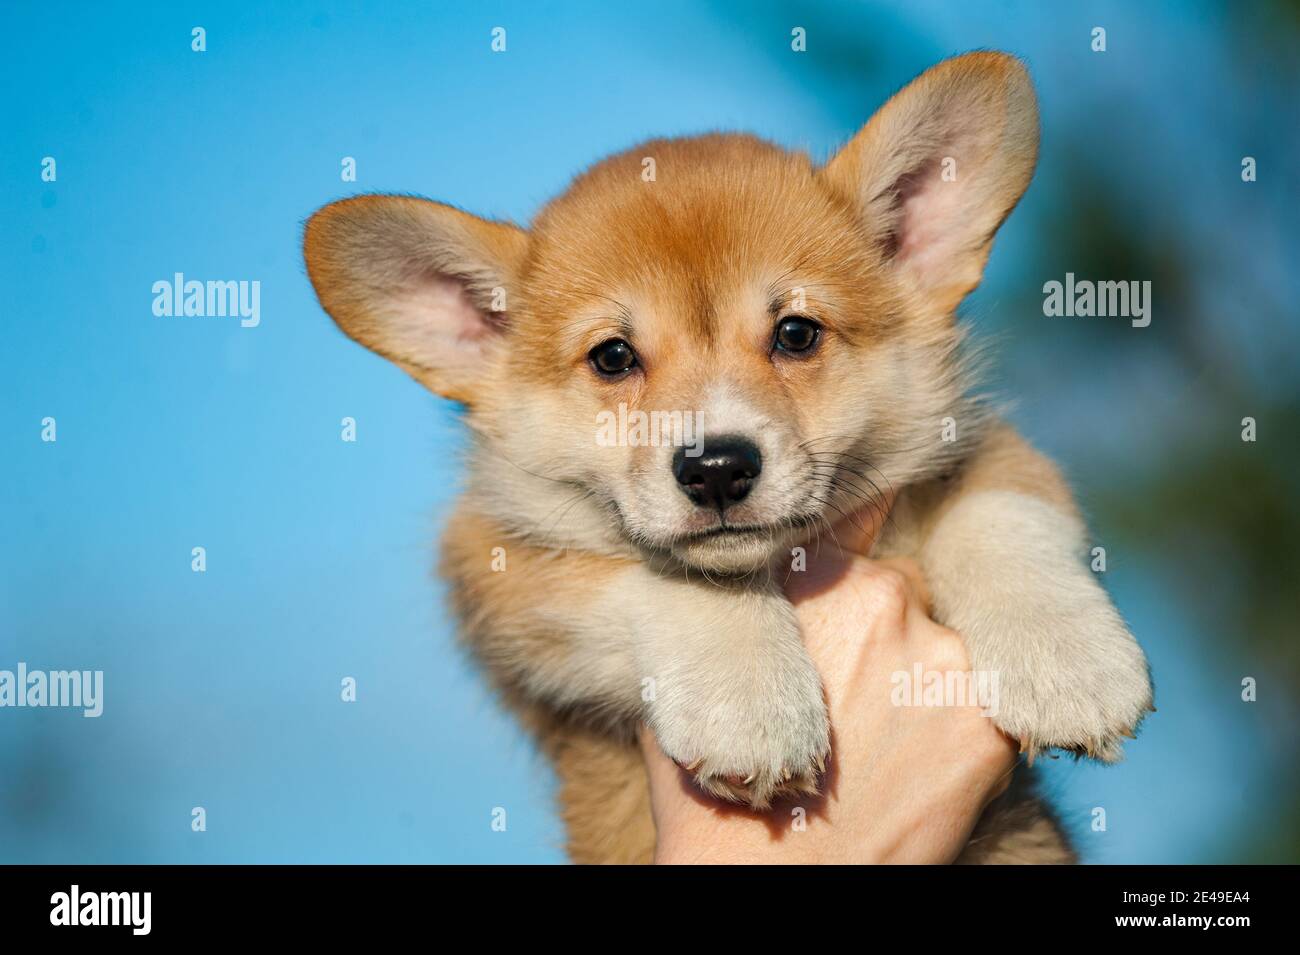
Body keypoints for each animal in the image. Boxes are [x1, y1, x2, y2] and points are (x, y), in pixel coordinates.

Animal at [306, 48, 1159, 862]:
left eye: (797, 334)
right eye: (613, 357)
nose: (716, 468)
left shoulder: (985, 453)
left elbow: (999, 513)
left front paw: (1068, 662)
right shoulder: (496, 566)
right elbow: (672, 574)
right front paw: (749, 704)